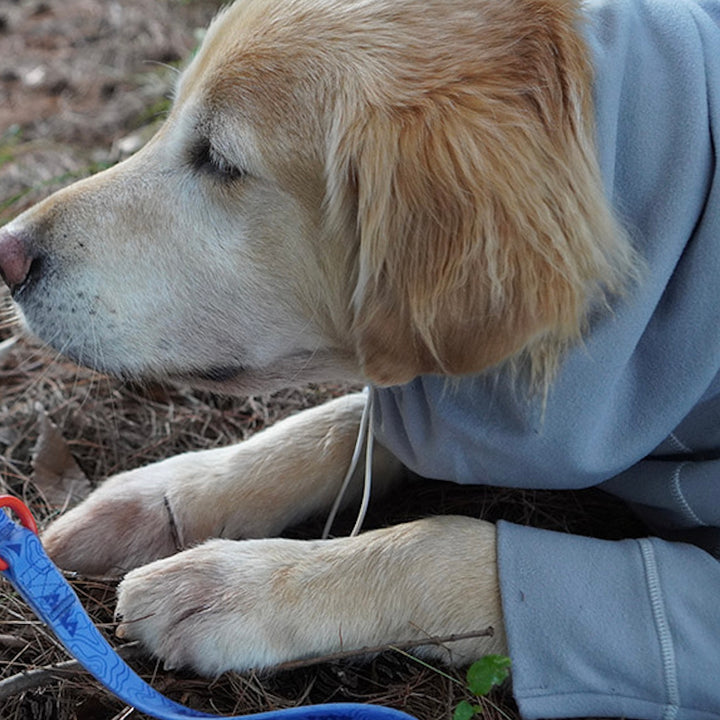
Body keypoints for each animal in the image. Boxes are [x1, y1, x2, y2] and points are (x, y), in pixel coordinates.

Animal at [1, 0, 720, 716]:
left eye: (221, 160)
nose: (7, 254)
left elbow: (448, 544)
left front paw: (240, 584)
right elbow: (332, 425)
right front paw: (162, 498)